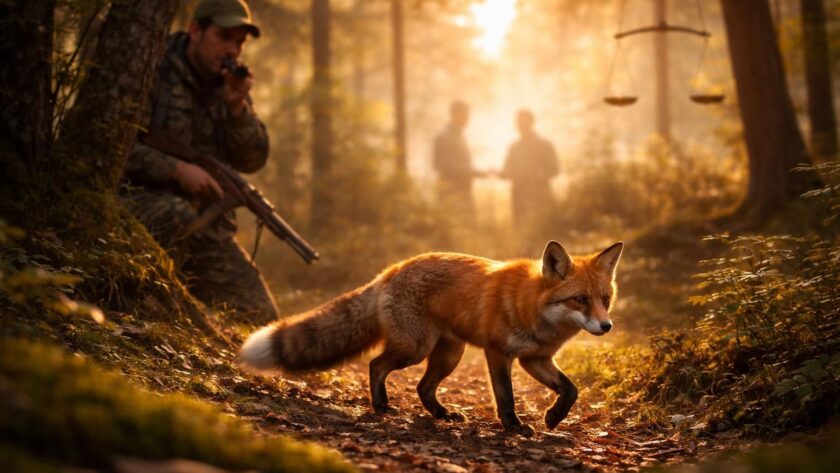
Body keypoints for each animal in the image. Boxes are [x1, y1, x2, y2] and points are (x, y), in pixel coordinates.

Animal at [239, 240, 623, 436]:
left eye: (605, 299)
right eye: (579, 300)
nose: (607, 327)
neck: (533, 309)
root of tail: (393, 269)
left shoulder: (535, 358)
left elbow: (570, 390)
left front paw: (554, 418)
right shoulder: (499, 353)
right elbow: (506, 397)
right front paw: (513, 427)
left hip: (448, 355)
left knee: (422, 387)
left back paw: (441, 414)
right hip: (415, 348)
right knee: (376, 365)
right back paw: (381, 406)